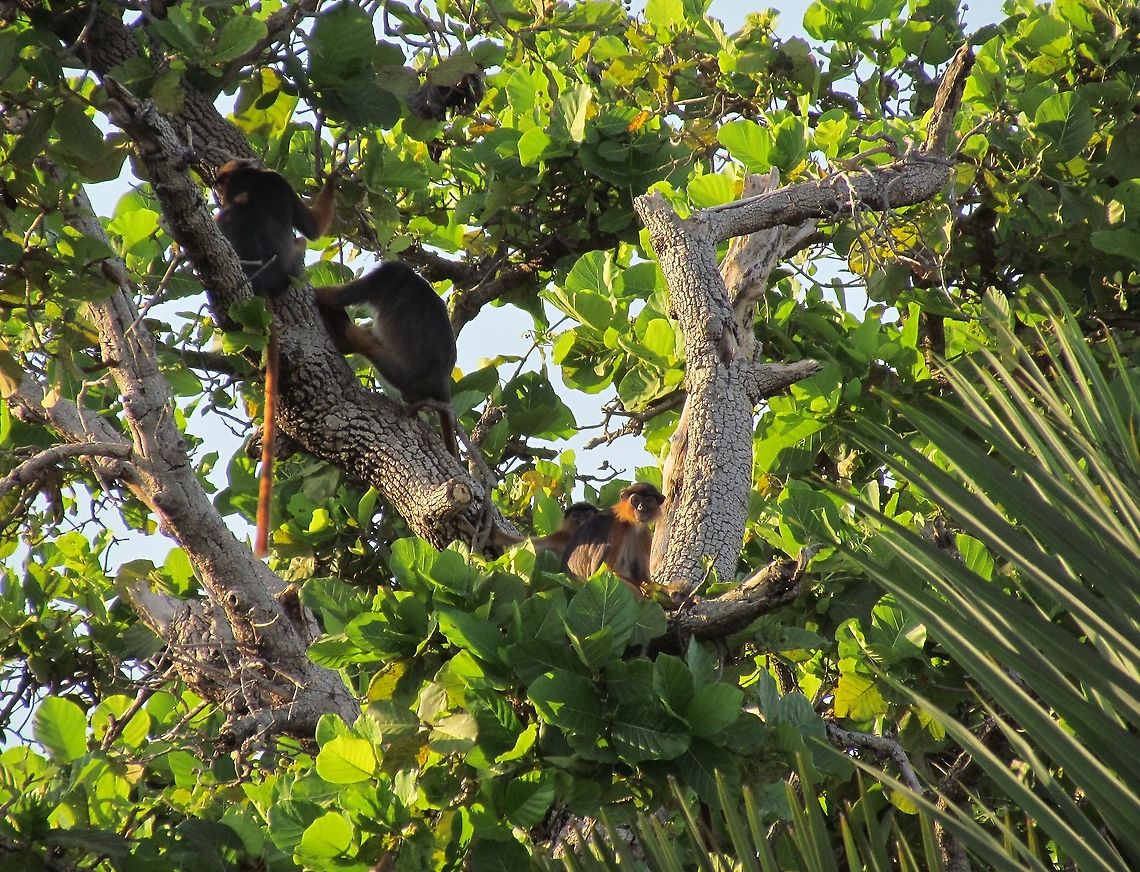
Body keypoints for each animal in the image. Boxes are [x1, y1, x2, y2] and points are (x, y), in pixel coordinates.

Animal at [212, 160, 337, 557]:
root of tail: (265, 286)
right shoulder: (278, 183)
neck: (248, 183)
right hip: (294, 266)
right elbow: (313, 228)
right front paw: (337, 175)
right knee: (302, 242)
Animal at [314, 262, 460, 457]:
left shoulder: (387, 273)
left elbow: (334, 297)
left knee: (368, 343)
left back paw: (343, 337)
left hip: (403, 375)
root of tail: (442, 379)